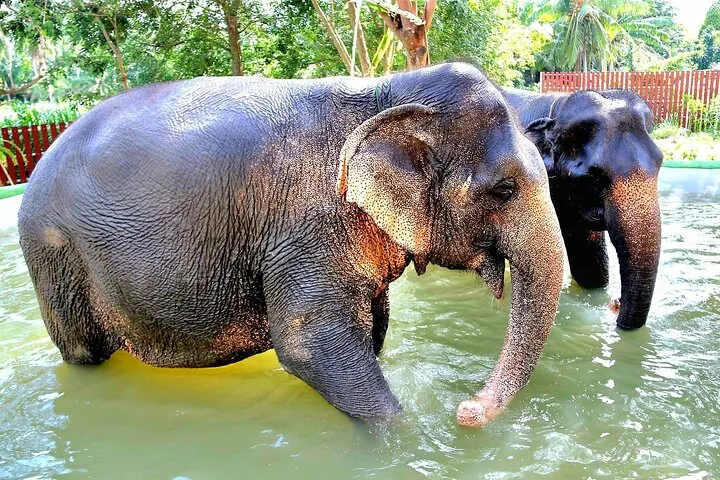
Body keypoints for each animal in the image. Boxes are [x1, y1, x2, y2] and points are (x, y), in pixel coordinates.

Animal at [18, 63, 565, 427]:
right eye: (503, 190)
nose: (465, 409)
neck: (385, 93)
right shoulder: (305, 227)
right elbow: (310, 345)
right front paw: (404, 437)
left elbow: (374, 327)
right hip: (54, 256)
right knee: (82, 351)